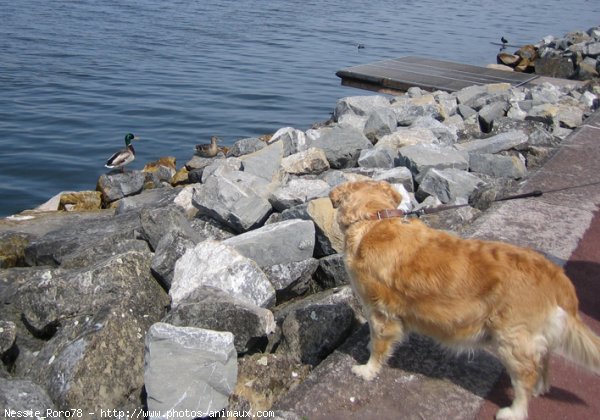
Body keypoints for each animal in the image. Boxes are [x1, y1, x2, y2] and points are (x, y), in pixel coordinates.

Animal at [330, 180, 596, 420]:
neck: (375, 219)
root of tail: (556, 275)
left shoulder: (381, 311)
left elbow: (379, 344)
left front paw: (367, 369)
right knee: (543, 357)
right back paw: (541, 387)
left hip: (512, 339)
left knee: (526, 376)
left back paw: (515, 411)